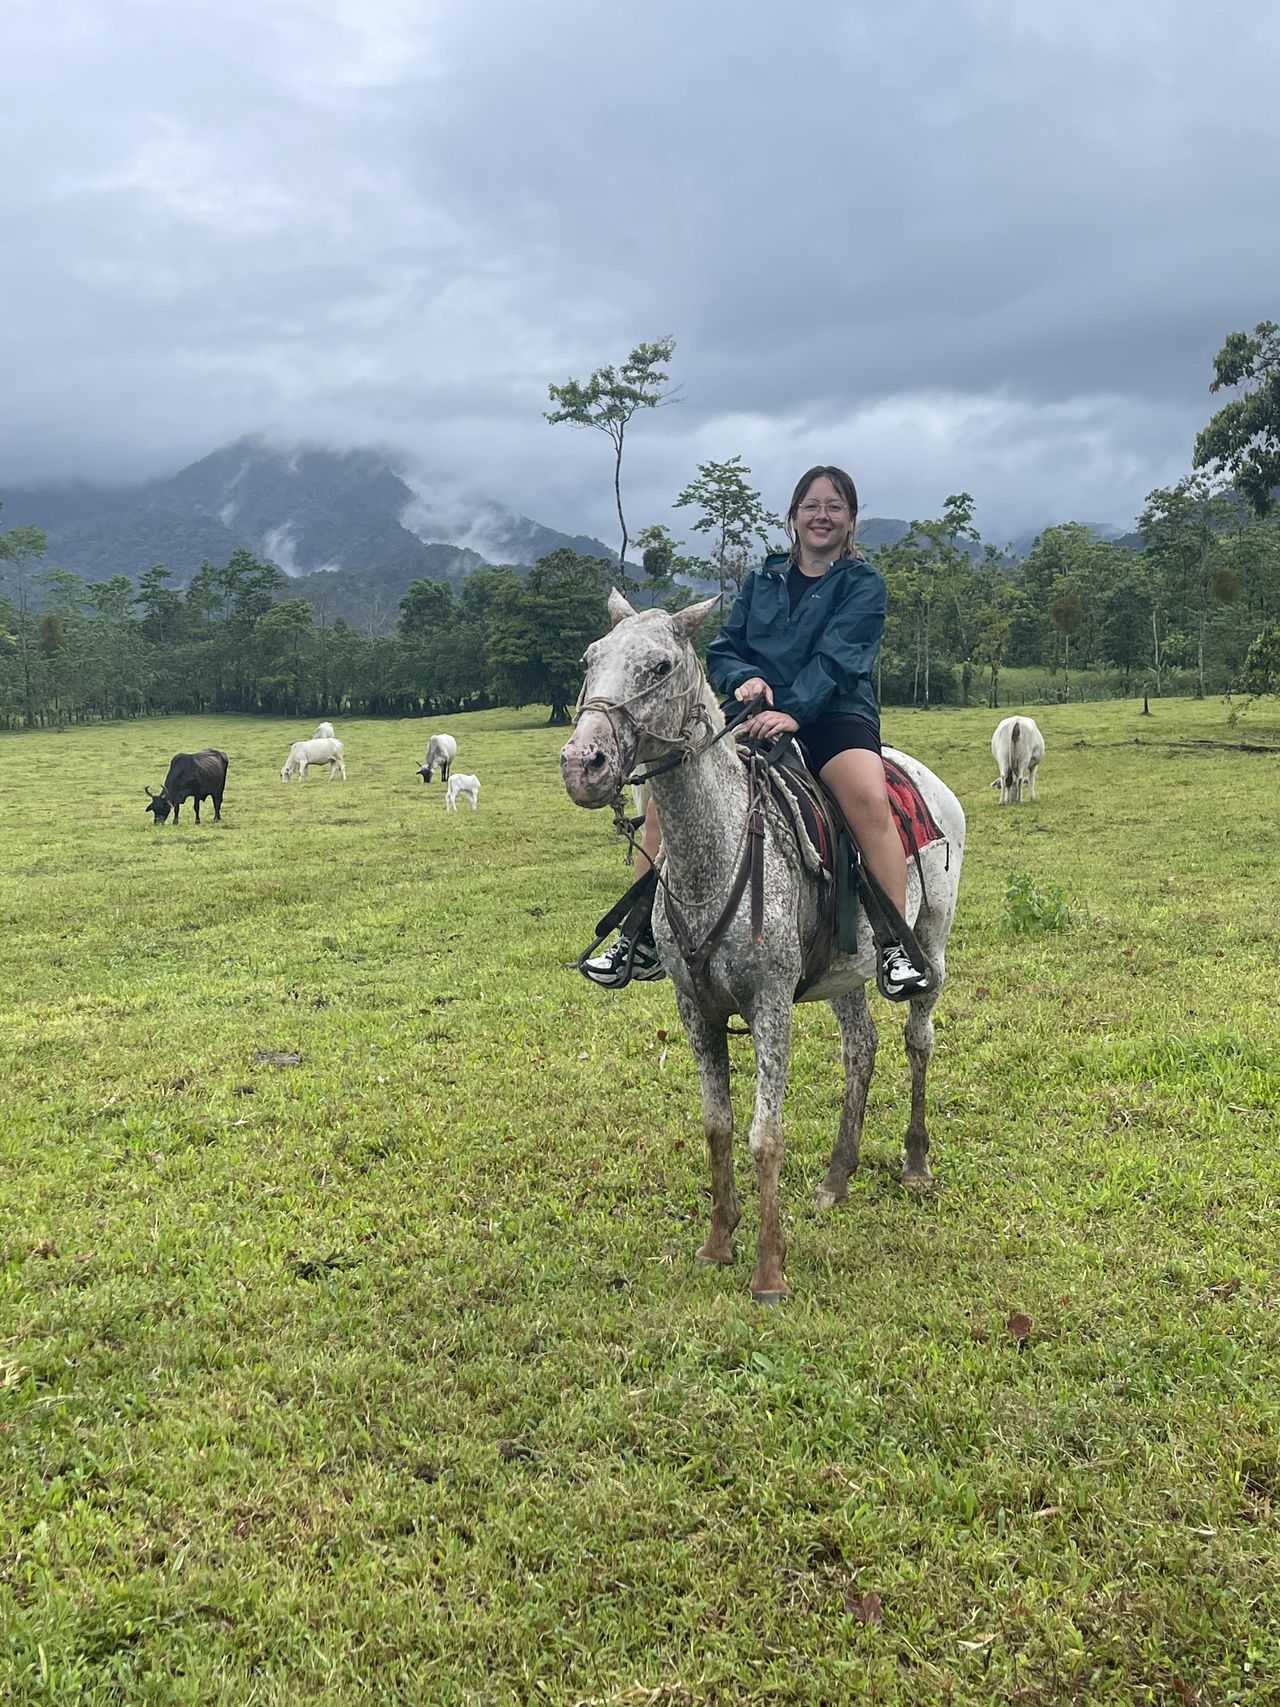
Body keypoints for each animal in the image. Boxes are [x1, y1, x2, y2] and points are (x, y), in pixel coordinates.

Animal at [566, 594, 969, 1297]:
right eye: (591, 658)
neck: (717, 854)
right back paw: (837, 1177)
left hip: (932, 945)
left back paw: (916, 1163)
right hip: (845, 970)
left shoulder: (771, 1003)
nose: (580, 764)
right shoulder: (694, 1008)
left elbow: (765, 1135)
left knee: (918, 1039)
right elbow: (718, 1124)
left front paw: (769, 1269)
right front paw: (718, 1242)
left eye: (661, 666)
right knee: (861, 1048)